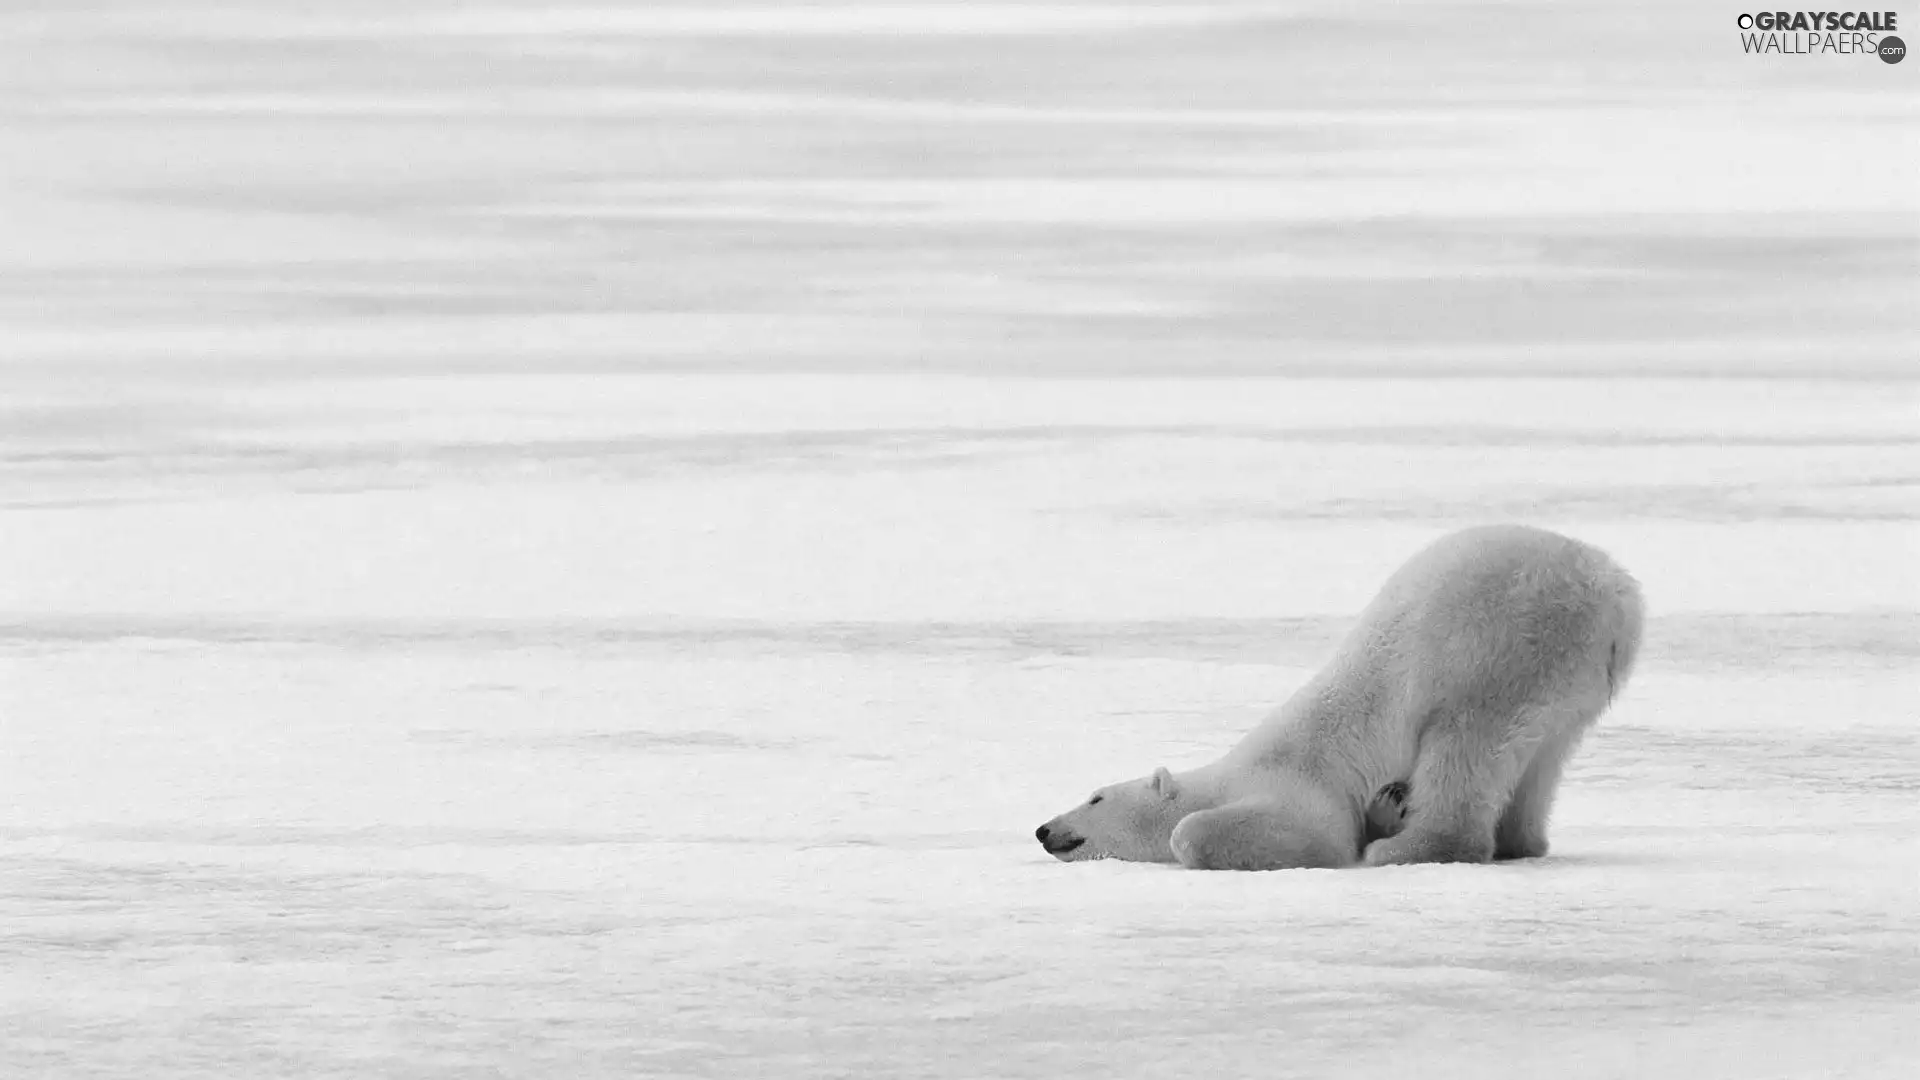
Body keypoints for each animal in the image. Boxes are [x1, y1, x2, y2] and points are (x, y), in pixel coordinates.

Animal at [1044, 522, 1643, 864]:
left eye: (1095, 797)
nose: (1044, 829)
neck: (1228, 776)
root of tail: (1614, 592)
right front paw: (1385, 808)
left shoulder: (1299, 785)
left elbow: (1286, 834)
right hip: (1572, 681)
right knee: (1541, 760)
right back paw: (1518, 841)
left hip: (1498, 647)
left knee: (1465, 747)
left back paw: (1405, 849)